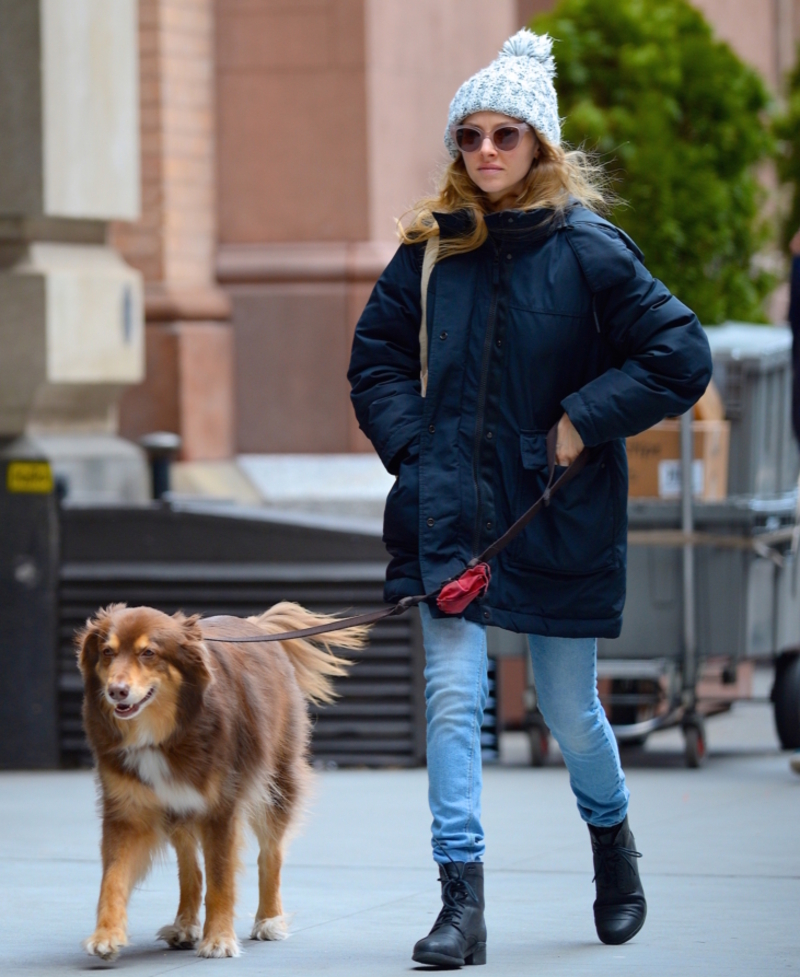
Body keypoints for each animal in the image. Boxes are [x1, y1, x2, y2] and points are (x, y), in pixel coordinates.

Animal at [78, 600, 366, 956]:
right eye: (107, 651)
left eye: (148, 653)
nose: (116, 691)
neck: (165, 732)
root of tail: (256, 625)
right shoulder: (126, 811)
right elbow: (113, 877)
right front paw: (106, 934)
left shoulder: (220, 808)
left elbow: (220, 878)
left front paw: (218, 938)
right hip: (179, 807)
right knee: (190, 868)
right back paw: (184, 925)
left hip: (275, 785)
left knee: (270, 855)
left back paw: (269, 919)